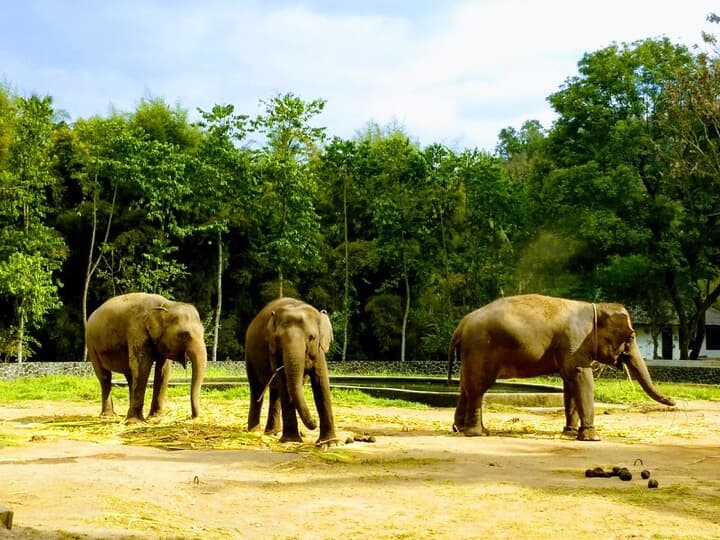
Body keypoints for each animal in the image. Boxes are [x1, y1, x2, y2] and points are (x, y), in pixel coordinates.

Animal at [85, 292, 207, 423]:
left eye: (203, 331)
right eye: (184, 334)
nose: (190, 416)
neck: (166, 305)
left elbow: (163, 371)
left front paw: (156, 417)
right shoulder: (137, 331)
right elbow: (142, 366)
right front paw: (134, 422)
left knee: (130, 375)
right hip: (91, 345)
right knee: (105, 377)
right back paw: (108, 416)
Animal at [245, 297, 337, 446]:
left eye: (312, 337)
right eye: (278, 339)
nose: (314, 422)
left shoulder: (319, 350)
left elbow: (321, 382)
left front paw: (329, 443)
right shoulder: (274, 351)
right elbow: (284, 382)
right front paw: (291, 441)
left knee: (275, 392)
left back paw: (272, 432)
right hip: (249, 355)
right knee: (257, 389)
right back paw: (254, 432)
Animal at [447, 294, 675, 441]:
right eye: (631, 337)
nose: (673, 402)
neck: (596, 308)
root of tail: (462, 324)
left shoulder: (570, 351)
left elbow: (570, 384)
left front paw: (570, 433)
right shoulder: (575, 342)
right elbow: (582, 379)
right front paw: (592, 437)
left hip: (470, 354)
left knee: (465, 386)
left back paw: (462, 428)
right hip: (481, 350)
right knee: (478, 388)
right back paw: (476, 433)